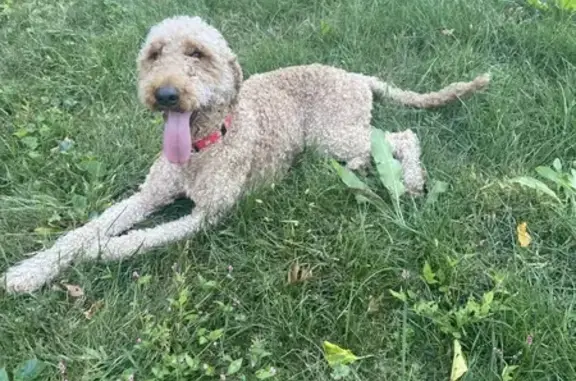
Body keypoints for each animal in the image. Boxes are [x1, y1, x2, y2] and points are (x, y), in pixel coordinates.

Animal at [1, 14, 490, 292]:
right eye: (154, 53)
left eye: (197, 53)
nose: (165, 94)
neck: (203, 144)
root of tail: (354, 75)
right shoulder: (147, 195)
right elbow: (84, 231)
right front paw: (32, 271)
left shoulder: (209, 215)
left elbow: (144, 238)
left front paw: (101, 253)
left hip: (333, 131)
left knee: (404, 136)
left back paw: (410, 179)